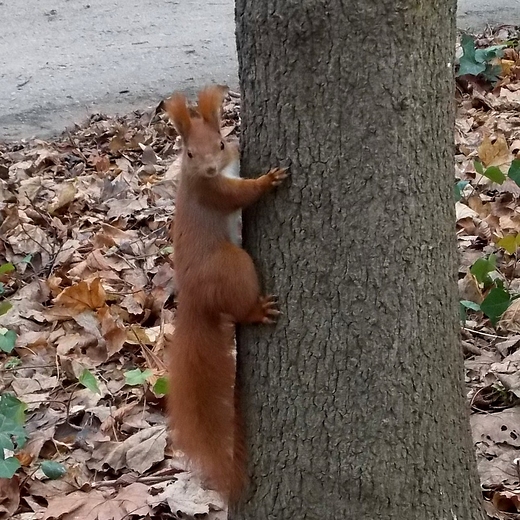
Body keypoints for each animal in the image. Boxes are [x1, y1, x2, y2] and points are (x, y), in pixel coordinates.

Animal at [166, 86, 288, 504]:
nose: (208, 169)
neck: (198, 178)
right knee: (239, 309)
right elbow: (241, 195)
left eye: (219, 143)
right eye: (188, 153)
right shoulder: (214, 193)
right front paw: (269, 179)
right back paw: (256, 311)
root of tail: (193, 298)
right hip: (233, 267)